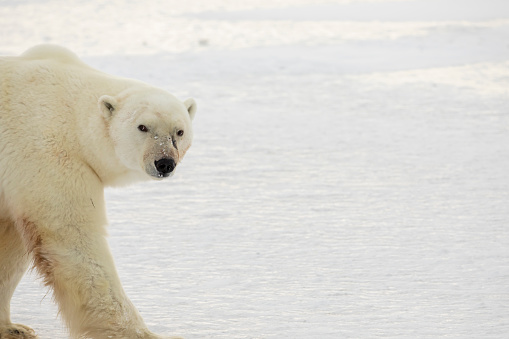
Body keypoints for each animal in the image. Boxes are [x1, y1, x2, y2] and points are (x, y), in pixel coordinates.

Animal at [0, 45, 196, 339]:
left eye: (180, 131)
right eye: (143, 127)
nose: (164, 163)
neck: (72, 116)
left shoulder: (16, 183)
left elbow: (10, 245)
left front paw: (13, 328)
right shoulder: (48, 156)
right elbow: (74, 241)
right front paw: (140, 333)